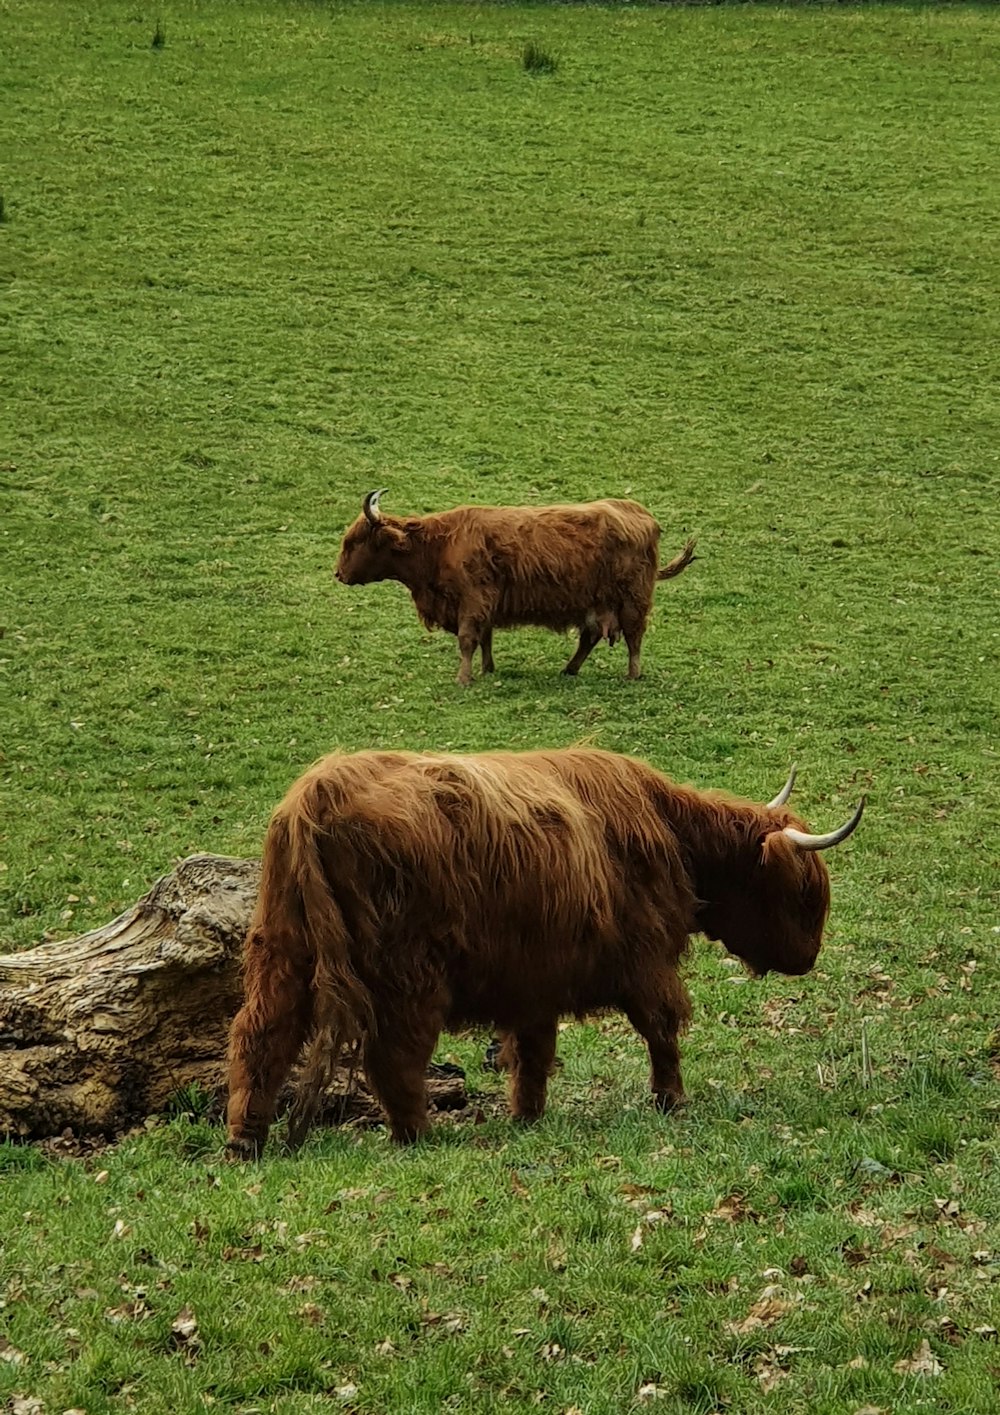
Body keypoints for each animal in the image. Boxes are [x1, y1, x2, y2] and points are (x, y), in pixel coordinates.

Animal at [224, 747, 859, 1154]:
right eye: (805, 895)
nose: (809, 957)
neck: (672, 835)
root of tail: (319, 793)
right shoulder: (645, 958)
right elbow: (662, 1027)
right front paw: (671, 1099)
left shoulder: (533, 979)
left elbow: (532, 1052)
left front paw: (526, 1116)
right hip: (408, 971)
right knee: (395, 1055)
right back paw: (418, 1136)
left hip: (283, 948)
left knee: (263, 1033)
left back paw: (246, 1139)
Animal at [333, 489, 695, 682]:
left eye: (354, 541)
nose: (338, 573)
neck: (440, 545)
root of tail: (638, 512)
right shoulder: (483, 604)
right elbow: (485, 639)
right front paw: (487, 670)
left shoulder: (473, 600)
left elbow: (468, 640)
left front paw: (464, 678)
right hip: (596, 603)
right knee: (590, 637)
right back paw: (569, 669)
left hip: (632, 599)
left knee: (634, 637)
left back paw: (632, 674)